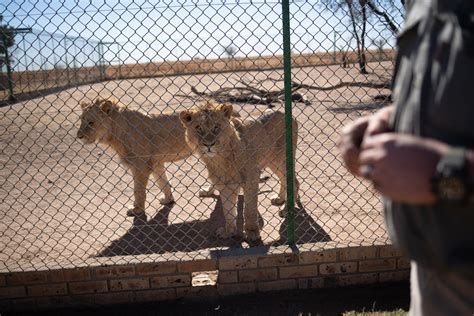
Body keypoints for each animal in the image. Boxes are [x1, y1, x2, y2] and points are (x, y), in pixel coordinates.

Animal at [78, 99, 212, 216]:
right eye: (81, 121)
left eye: (91, 122)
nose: (79, 136)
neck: (115, 133)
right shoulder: (155, 162)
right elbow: (163, 182)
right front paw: (168, 199)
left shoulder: (140, 165)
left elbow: (138, 190)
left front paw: (137, 210)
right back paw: (207, 191)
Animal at [180, 100, 298, 241]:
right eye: (198, 128)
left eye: (216, 127)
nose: (209, 145)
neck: (220, 159)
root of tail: (287, 114)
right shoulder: (224, 184)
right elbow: (228, 211)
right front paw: (228, 232)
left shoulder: (251, 179)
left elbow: (249, 210)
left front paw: (252, 232)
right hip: (272, 162)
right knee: (284, 180)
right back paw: (280, 199)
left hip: (282, 160)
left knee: (294, 181)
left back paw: (287, 209)